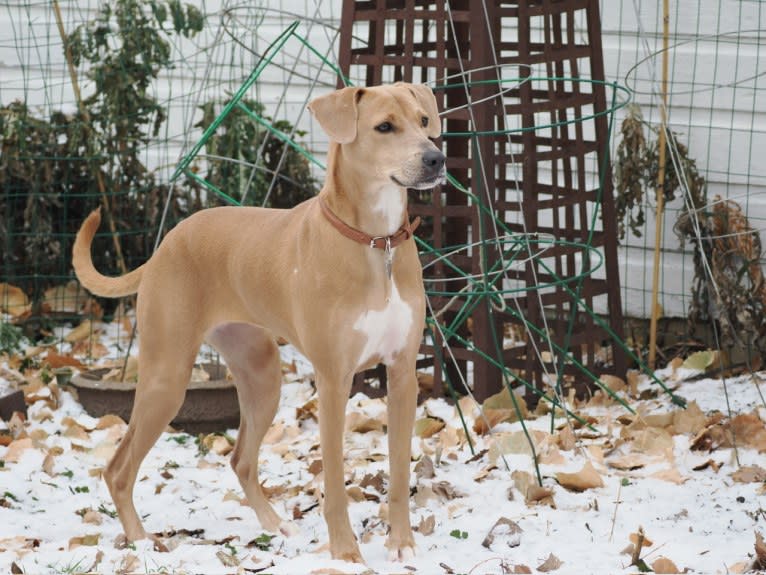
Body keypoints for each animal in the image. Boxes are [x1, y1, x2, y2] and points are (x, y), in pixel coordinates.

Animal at [72, 82, 448, 564]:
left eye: (423, 121)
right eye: (385, 127)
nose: (435, 159)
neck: (373, 241)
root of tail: (165, 245)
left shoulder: (401, 375)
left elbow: (399, 473)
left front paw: (402, 545)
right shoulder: (334, 379)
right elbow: (334, 483)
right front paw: (346, 554)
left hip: (262, 374)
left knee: (241, 460)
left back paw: (275, 525)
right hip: (167, 378)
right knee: (119, 469)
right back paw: (141, 541)